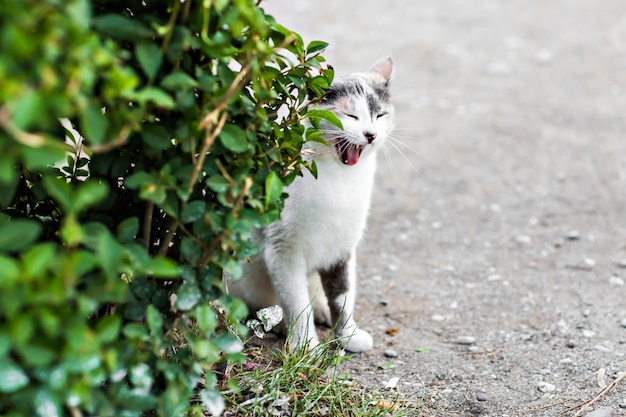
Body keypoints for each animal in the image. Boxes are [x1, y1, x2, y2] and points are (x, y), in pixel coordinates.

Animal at [225, 56, 394, 352]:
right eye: (351, 115)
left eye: (380, 115)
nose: (370, 134)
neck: (339, 180)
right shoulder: (283, 251)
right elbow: (296, 303)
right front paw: (305, 346)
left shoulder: (342, 248)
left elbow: (343, 295)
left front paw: (348, 334)